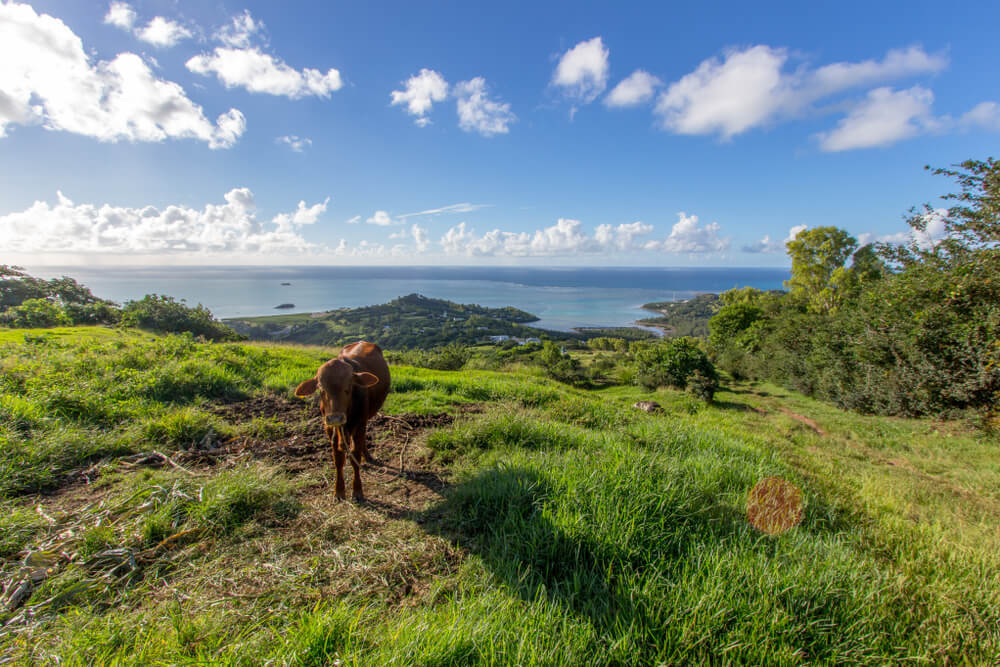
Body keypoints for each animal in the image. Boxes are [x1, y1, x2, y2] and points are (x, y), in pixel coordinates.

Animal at [292, 342, 390, 498]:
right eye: (321, 388)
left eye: (349, 386)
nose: (336, 417)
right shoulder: (329, 427)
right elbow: (338, 459)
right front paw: (338, 490)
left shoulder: (360, 422)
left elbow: (355, 456)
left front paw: (357, 489)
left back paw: (367, 455)